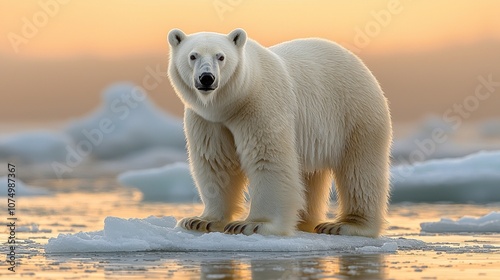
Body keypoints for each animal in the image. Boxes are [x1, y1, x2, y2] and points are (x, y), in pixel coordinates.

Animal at [170, 28, 392, 237]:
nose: (206, 78)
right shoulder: (208, 121)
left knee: (359, 169)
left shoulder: (261, 105)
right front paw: (200, 221)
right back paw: (304, 222)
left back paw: (345, 225)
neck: (233, 103)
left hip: (355, 114)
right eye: (193, 56)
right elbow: (216, 163)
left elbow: (267, 157)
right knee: (309, 174)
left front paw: (252, 224)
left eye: (221, 56)